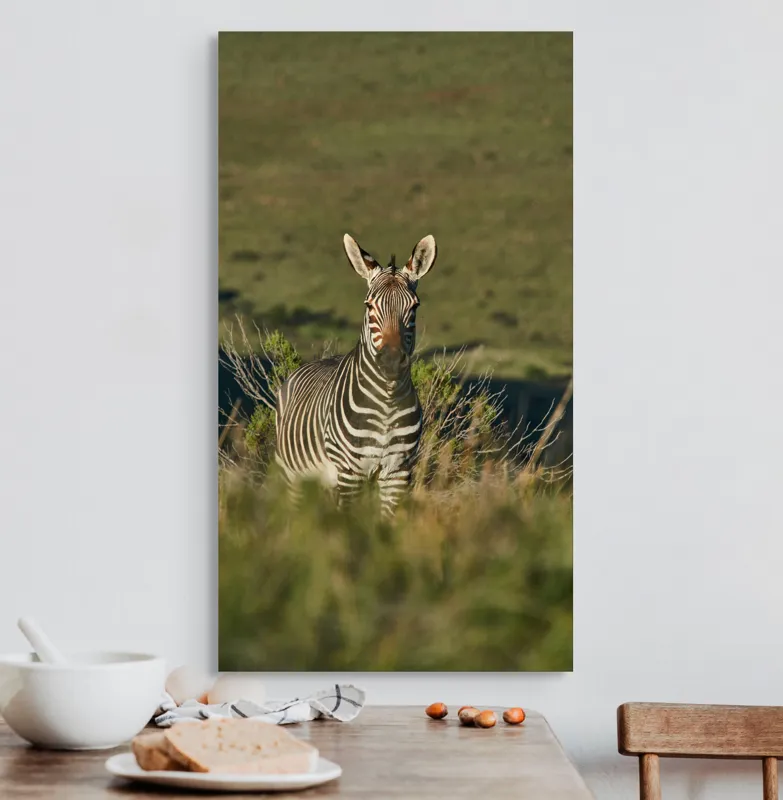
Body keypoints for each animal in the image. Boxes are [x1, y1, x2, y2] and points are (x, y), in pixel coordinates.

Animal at [274, 233, 437, 515]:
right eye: (369, 306)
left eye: (414, 307)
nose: (391, 361)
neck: (387, 402)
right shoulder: (351, 472)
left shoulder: (398, 472)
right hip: (294, 476)